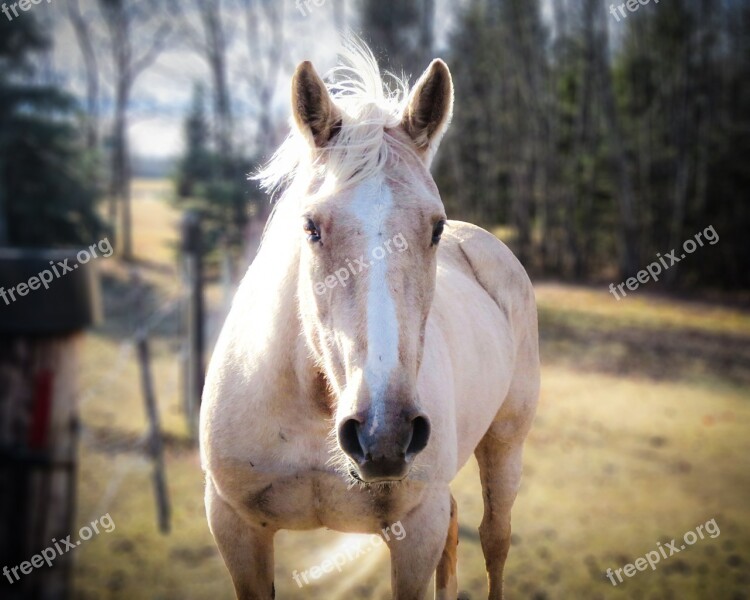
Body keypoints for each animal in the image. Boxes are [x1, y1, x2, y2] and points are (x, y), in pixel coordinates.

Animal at [200, 43, 540, 600]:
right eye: (311, 227)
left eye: (435, 228)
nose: (384, 434)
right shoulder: (235, 527)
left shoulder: (414, 530)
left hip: (506, 444)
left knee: (495, 539)